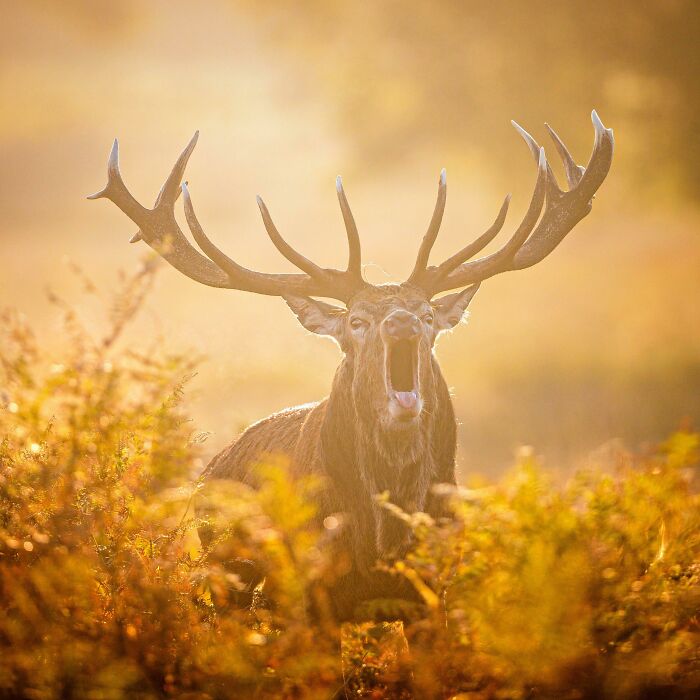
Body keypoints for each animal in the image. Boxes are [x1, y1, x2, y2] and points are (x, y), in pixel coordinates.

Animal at [89, 111, 614, 620]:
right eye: (358, 320)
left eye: (428, 315)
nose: (402, 322)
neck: (381, 541)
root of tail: (210, 470)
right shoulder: (312, 593)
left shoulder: (434, 589)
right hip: (229, 573)